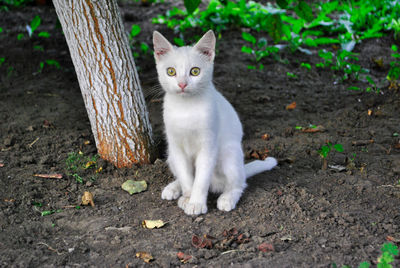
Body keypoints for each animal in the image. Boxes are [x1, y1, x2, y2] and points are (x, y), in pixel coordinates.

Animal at [152, 29, 276, 216]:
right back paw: (174, 188)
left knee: (238, 183)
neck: (186, 108)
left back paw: (227, 198)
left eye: (195, 71)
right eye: (171, 71)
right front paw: (188, 197)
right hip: (171, 156)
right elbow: (186, 175)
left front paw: (196, 203)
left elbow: (201, 179)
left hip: (229, 154)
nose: (182, 84)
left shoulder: (208, 145)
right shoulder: (175, 145)